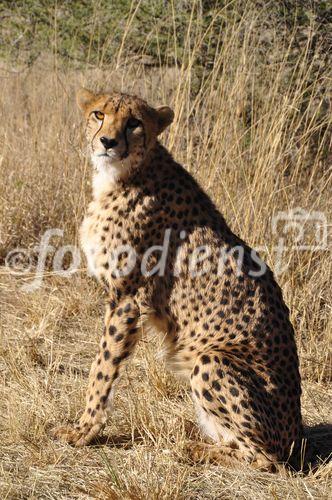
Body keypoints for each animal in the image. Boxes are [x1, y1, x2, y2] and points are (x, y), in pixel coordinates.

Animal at [54, 89, 304, 468]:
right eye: (99, 114)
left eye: (134, 123)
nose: (108, 141)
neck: (125, 173)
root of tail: (296, 435)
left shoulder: (128, 299)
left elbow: (101, 368)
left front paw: (84, 430)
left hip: (211, 360)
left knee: (264, 458)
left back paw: (193, 448)